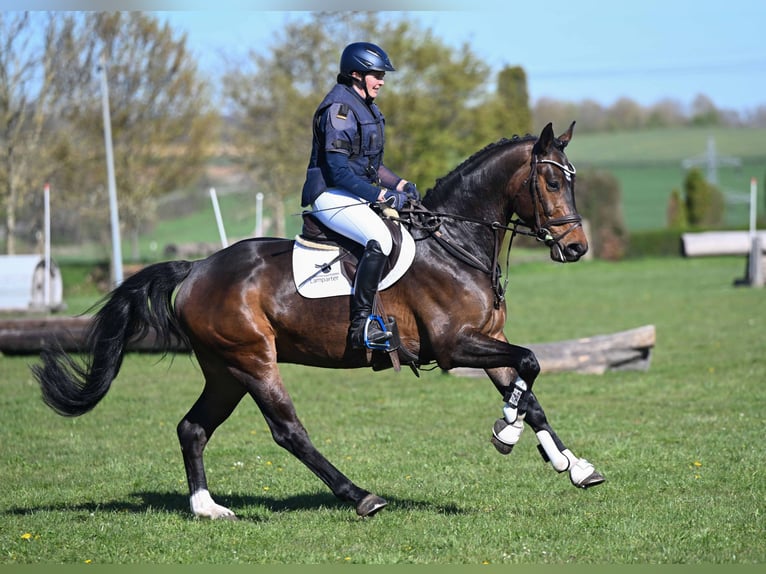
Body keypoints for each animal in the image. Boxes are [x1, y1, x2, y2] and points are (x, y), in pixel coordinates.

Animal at [33, 121, 604, 521]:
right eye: (551, 181)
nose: (577, 248)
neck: (455, 244)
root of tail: (196, 268)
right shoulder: (454, 344)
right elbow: (530, 364)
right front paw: (505, 433)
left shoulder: (488, 338)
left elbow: (527, 386)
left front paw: (573, 465)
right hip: (253, 360)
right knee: (288, 431)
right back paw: (361, 496)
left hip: (224, 369)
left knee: (192, 427)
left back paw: (206, 508)